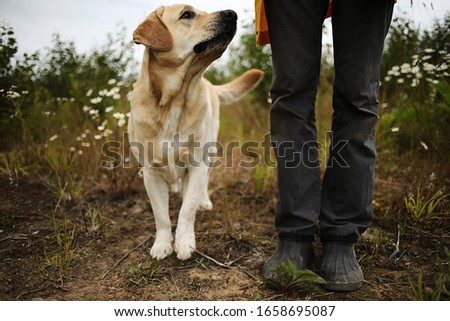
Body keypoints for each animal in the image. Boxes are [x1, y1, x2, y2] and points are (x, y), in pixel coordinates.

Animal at [128, 3, 264, 260]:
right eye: (187, 14)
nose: (231, 13)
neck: (174, 101)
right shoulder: (150, 173)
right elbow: (161, 214)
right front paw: (162, 244)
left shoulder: (196, 163)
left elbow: (187, 209)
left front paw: (184, 242)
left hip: (209, 148)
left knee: (203, 182)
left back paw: (204, 201)